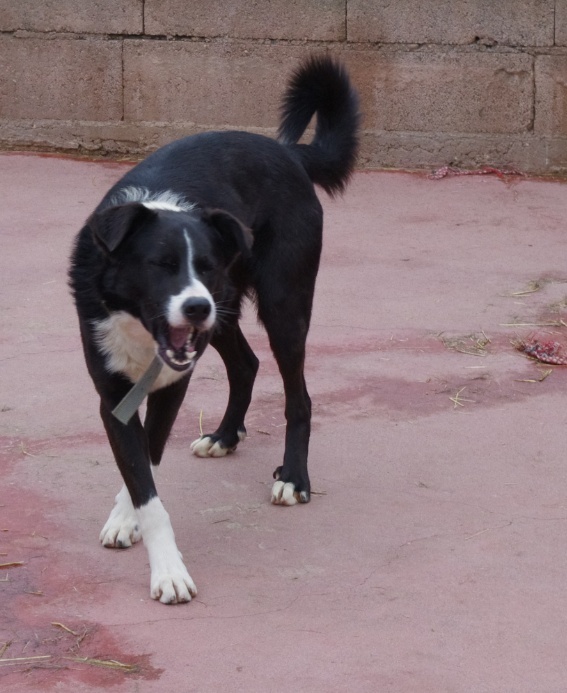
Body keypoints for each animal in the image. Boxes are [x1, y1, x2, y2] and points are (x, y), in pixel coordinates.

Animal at [67, 56, 360, 604]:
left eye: (203, 264)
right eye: (161, 265)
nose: (196, 304)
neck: (139, 325)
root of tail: (287, 152)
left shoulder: (170, 386)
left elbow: (148, 462)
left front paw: (161, 563)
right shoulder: (113, 393)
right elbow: (139, 474)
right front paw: (133, 525)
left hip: (279, 305)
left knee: (299, 397)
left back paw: (294, 477)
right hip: (224, 317)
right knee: (246, 364)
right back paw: (225, 435)